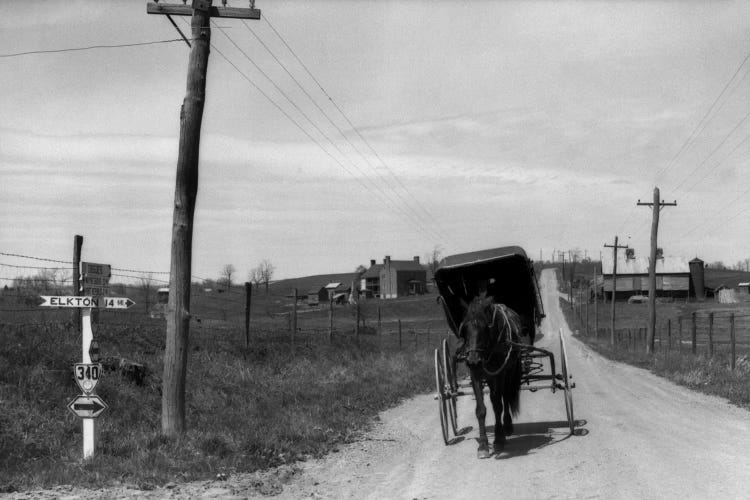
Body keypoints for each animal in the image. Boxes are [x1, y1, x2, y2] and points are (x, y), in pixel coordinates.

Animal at [458, 294, 524, 458]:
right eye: (464, 329)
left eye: (485, 328)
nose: (473, 360)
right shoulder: (475, 375)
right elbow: (480, 410)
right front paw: (483, 445)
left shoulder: (499, 374)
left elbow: (498, 406)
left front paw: (499, 439)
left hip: (508, 373)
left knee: (505, 397)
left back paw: (507, 426)